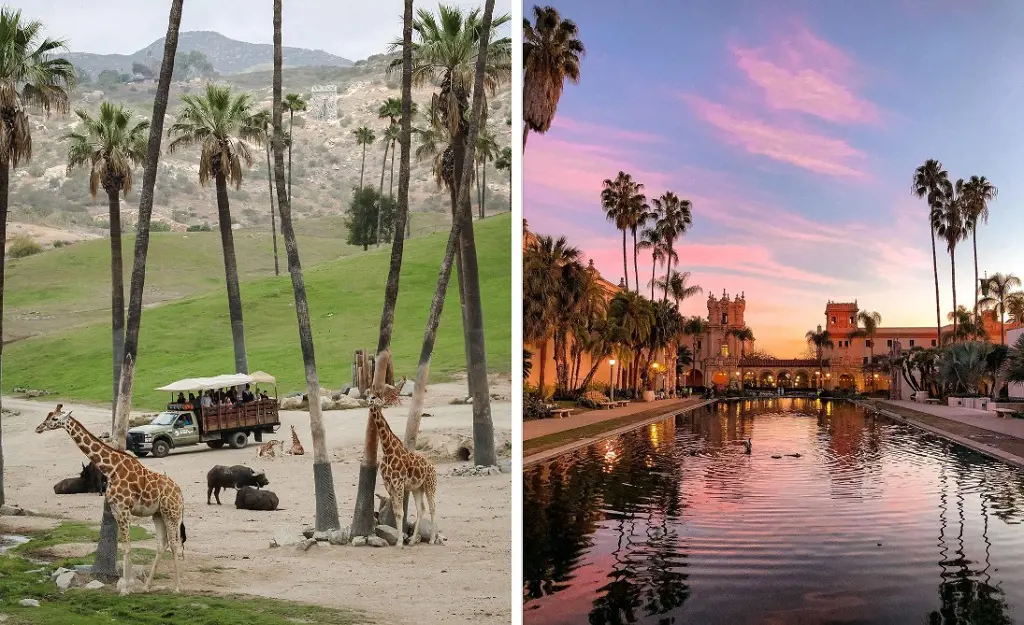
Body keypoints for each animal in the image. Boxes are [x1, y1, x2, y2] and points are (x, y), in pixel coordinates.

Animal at [35, 403, 187, 594]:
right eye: (47, 417)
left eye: (54, 419)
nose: (38, 428)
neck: (111, 468)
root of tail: (180, 493)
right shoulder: (116, 510)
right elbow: (124, 546)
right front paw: (125, 585)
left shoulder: (124, 509)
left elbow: (128, 547)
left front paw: (125, 589)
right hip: (157, 514)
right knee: (162, 544)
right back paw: (146, 587)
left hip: (171, 512)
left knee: (174, 543)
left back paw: (177, 588)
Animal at [368, 389, 436, 545]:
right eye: (367, 396)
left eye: (375, 396)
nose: (371, 402)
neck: (387, 450)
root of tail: (433, 467)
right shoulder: (389, 485)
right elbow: (397, 512)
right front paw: (399, 540)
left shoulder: (398, 484)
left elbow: (400, 512)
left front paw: (399, 542)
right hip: (417, 488)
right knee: (421, 510)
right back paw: (412, 541)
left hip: (430, 486)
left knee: (432, 508)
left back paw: (432, 539)